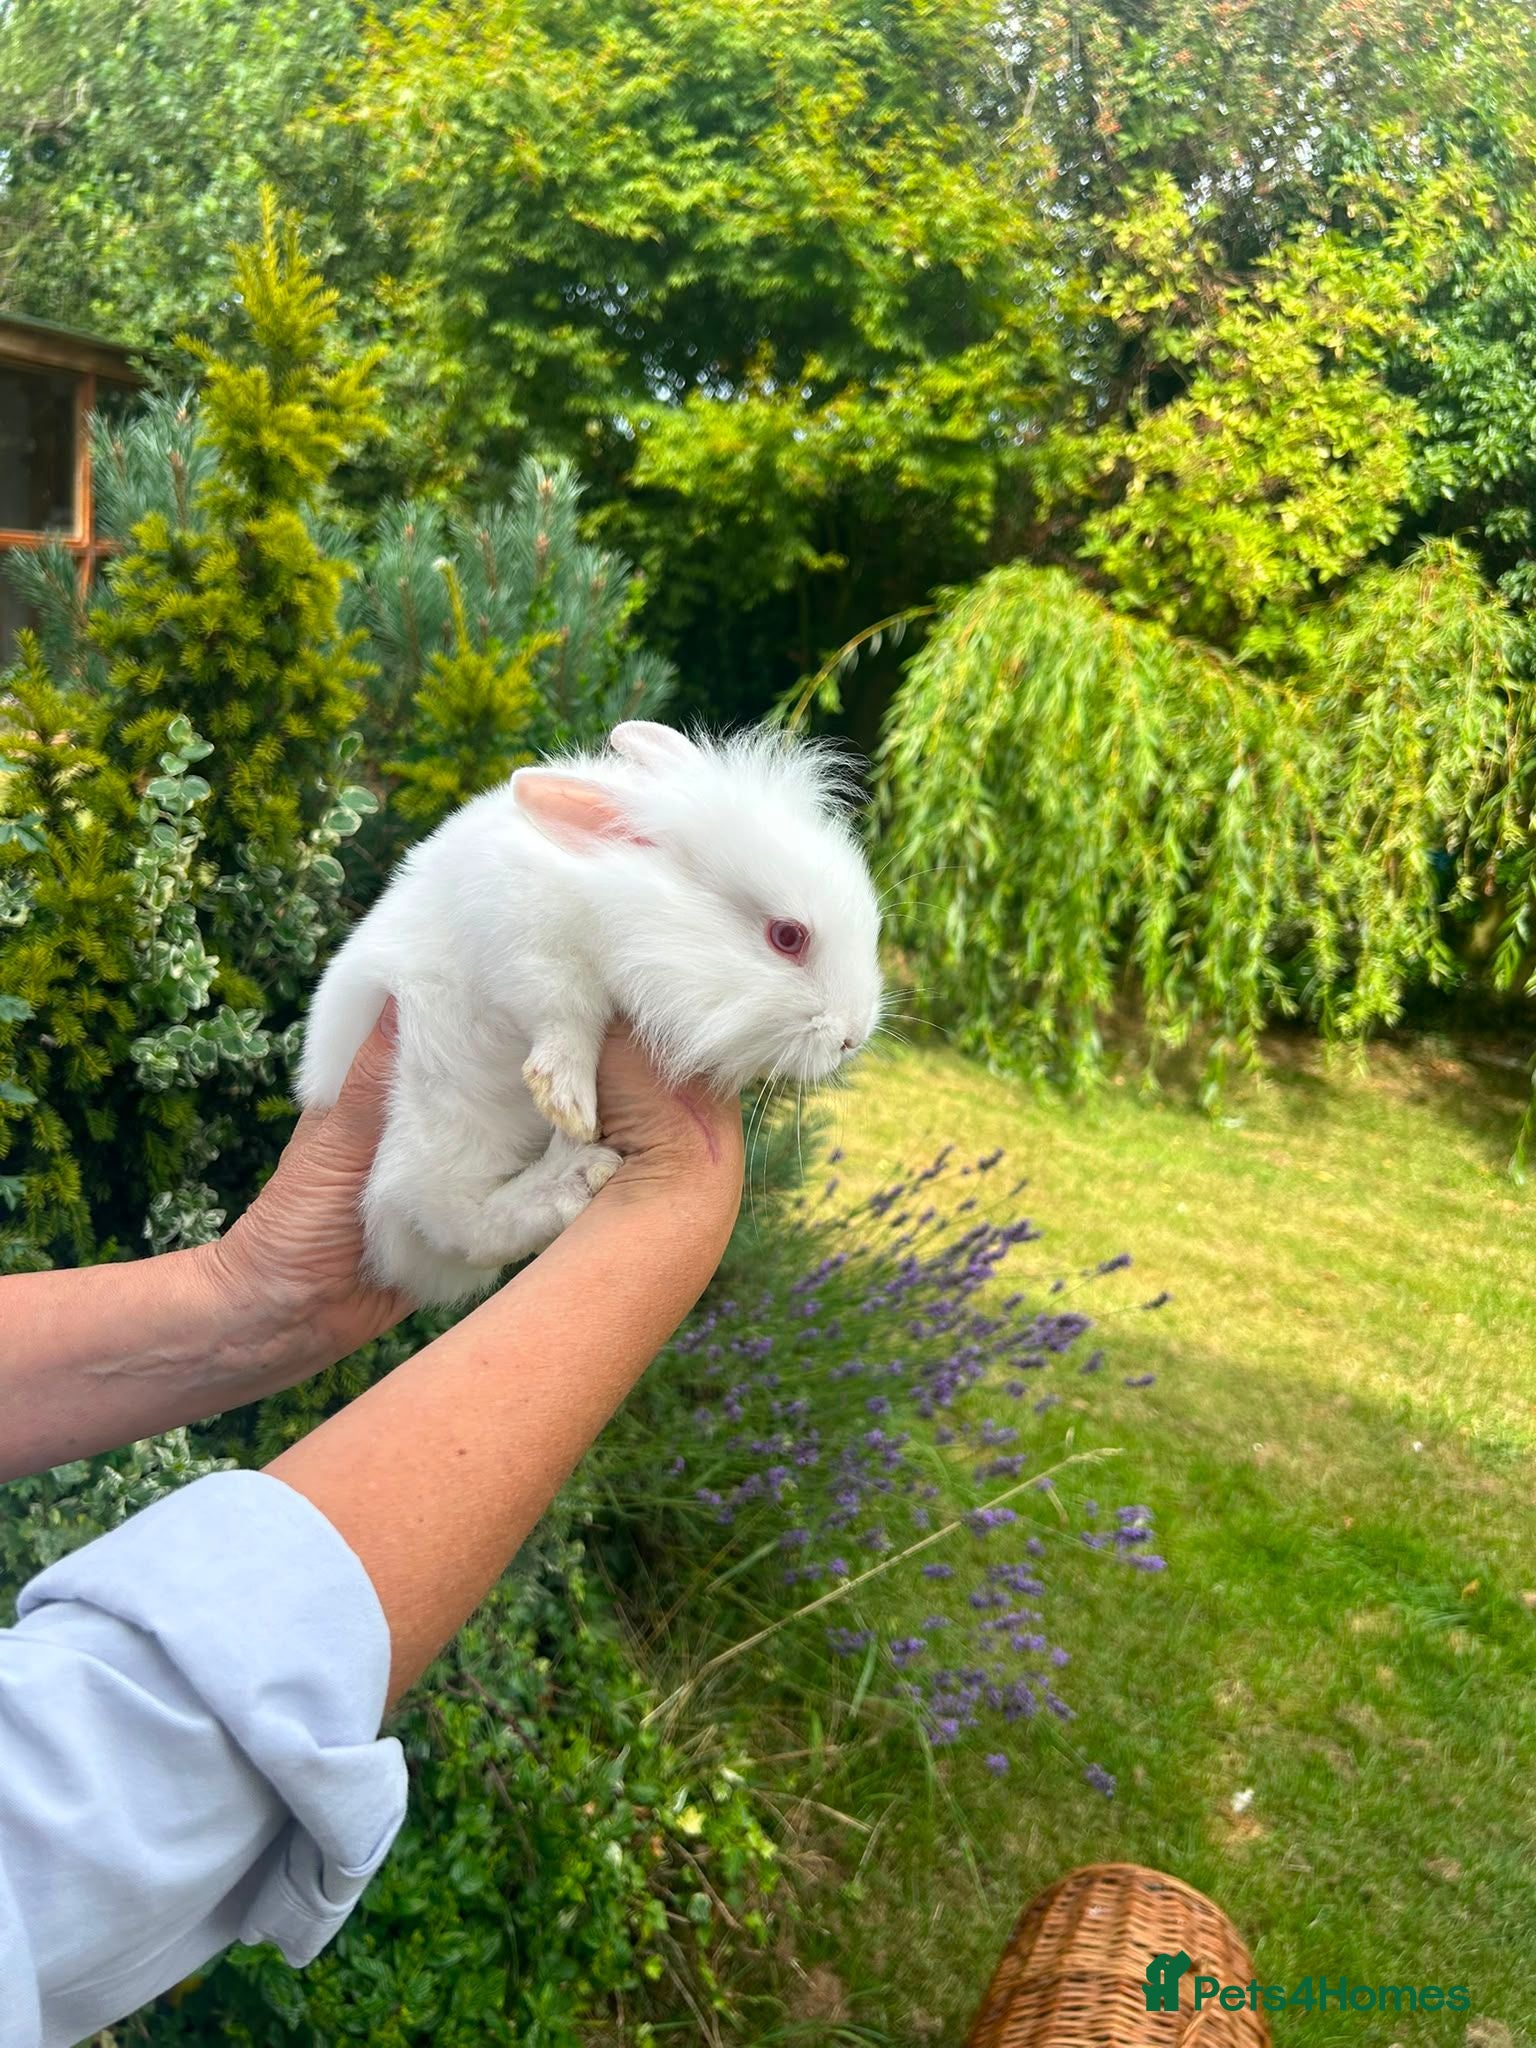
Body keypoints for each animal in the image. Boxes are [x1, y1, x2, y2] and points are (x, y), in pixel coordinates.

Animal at [297, 720, 883, 1306]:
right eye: (788, 936)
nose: (851, 1038)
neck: (615, 898)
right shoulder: (524, 943)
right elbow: (566, 1015)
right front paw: (567, 1096)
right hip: (432, 1113)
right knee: (455, 1220)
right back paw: (573, 1176)